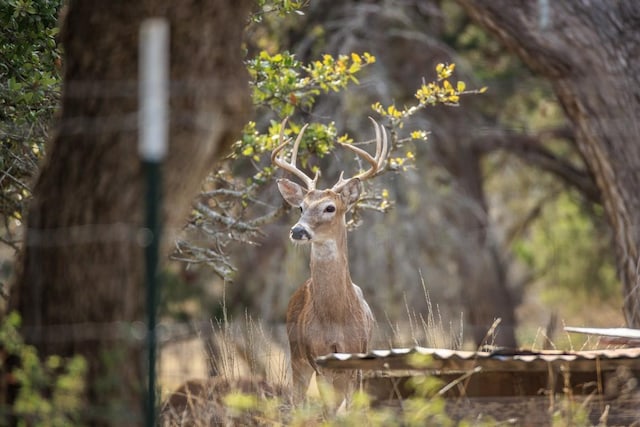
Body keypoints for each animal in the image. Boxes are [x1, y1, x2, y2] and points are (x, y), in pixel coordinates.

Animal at [272, 117, 388, 412]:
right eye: (301, 207)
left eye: (330, 208)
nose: (298, 231)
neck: (336, 318)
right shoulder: (319, 360)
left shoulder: (357, 358)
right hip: (296, 356)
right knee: (297, 400)